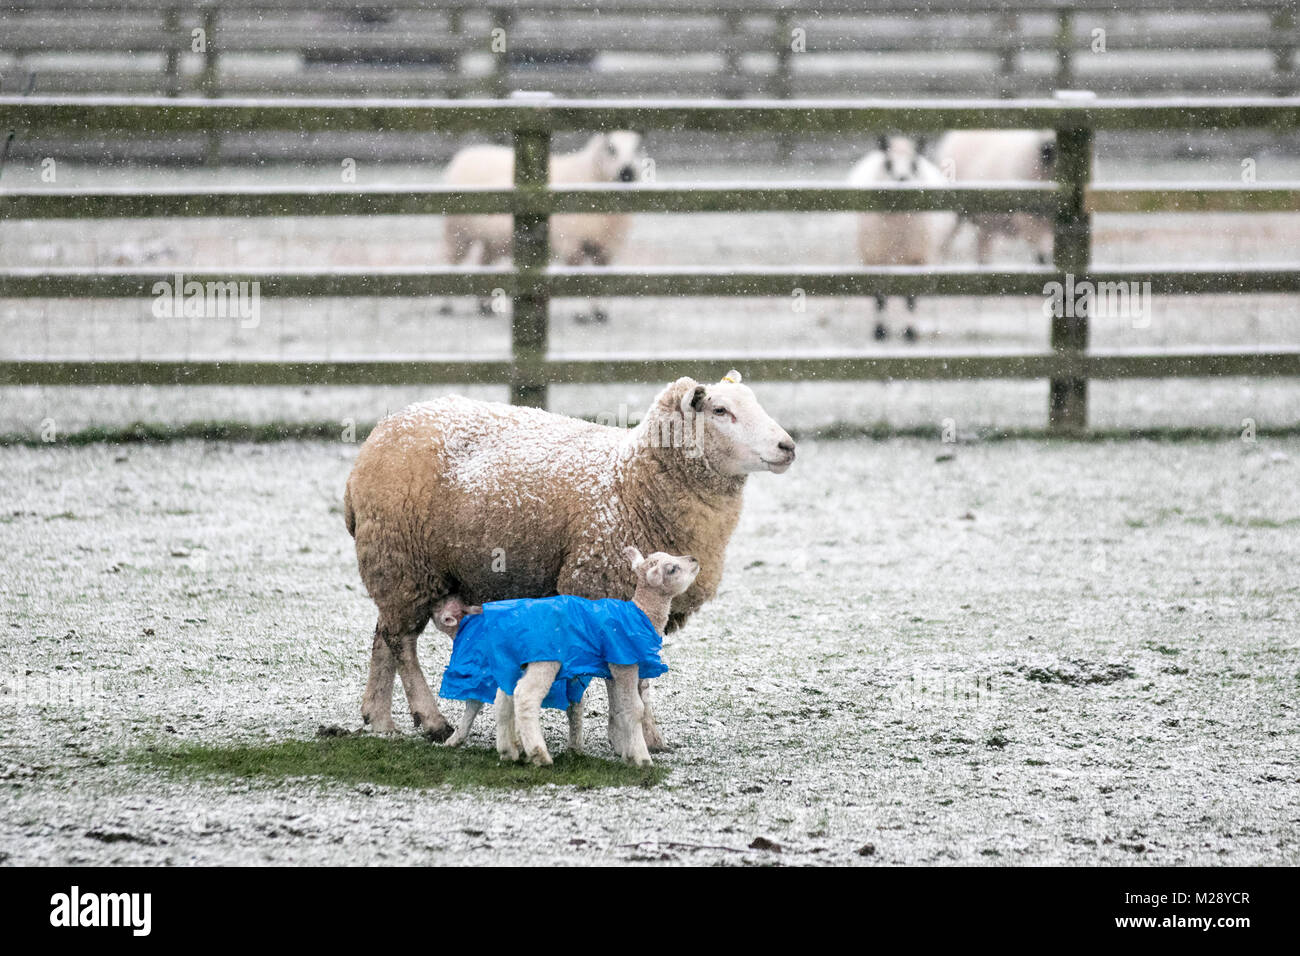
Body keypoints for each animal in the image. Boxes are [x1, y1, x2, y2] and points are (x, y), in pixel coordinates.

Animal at [436, 548, 702, 764]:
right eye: (672, 569)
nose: (694, 559)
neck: (642, 613)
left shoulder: (615, 669)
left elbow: (620, 709)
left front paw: (627, 753)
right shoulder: (625, 663)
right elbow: (635, 708)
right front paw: (642, 759)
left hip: (514, 661)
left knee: (504, 698)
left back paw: (508, 751)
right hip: (544, 659)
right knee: (525, 696)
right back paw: (538, 754)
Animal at [441, 128, 644, 323]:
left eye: (637, 148)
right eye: (611, 147)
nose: (627, 173)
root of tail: (465, 154)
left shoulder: (608, 248)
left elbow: (602, 281)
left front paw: (600, 312)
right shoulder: (571, 244)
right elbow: (578, 279)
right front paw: (581, 314)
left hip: (493, 240)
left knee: (484, 262)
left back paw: (485, 306)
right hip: (457, 232)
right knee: (451, 261)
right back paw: (446, 306)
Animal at [842, 134, 956, 343]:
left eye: (914, 164)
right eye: (888, 164)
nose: (902, 180)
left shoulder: (917, 259)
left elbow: (911, 298)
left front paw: (910, 332)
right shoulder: (875, 259)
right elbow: (879, 297)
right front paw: (879, 332)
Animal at [935, 128, 1055, 267]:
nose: (1047, 148)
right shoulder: (1029, 221)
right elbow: (1041, 256)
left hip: (986, 221)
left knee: (982, 248)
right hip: (954, 213)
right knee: (943, 245)